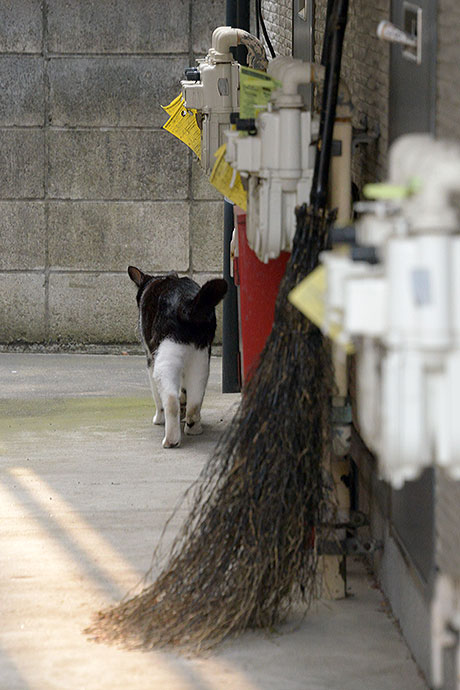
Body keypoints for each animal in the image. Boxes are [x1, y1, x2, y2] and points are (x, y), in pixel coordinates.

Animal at [127, 266, 228, 448]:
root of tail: (187, 303)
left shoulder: (150, 359)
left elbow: (157, 396)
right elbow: (185, 391)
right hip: (200, 360)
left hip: (165, 360)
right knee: (195, 400)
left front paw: (159, 419)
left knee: (170, 399)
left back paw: (171, 439)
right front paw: (184, 408)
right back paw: (194, 427)